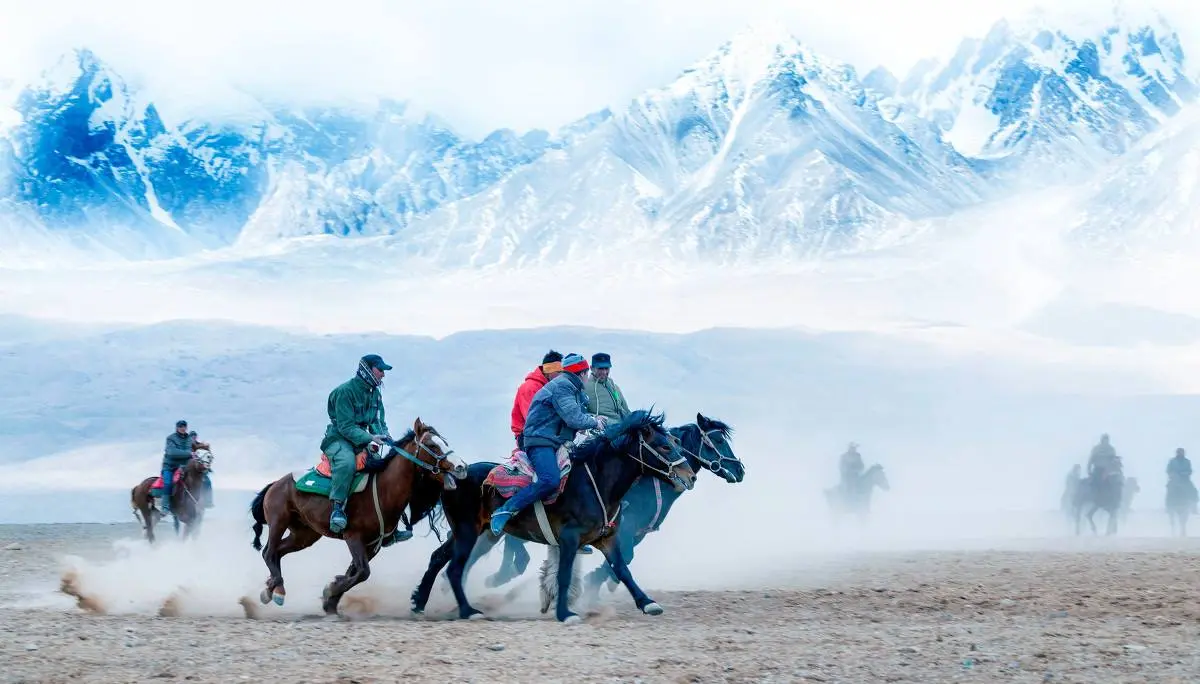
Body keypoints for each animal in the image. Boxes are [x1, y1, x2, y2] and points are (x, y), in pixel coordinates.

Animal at [248, 417, 463, 614]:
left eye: (444, 441)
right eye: (432, 445)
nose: (461, 467)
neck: (383, 488)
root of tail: (276, 484)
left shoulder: (373, 544)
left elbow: (355, 571)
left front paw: (331, 602)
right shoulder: (353, 537)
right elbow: (363, 572)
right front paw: (331, 590)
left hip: (304, 535)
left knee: (278, 552)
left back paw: (272, 589)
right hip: (279, 521)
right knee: (269, 552)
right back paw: (276, 592)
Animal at [410, 410, 696, 624]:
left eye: (674, 443)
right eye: (663, 446)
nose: (689, 476)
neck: (597, 483)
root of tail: (452, 476)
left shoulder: (607, 539)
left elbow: (623, 570)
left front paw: (647, 603)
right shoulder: (569, 539)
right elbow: (564, 575)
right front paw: (565, 613)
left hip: (467, 531)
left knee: (438, 558)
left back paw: (419, 601)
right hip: (468, 531)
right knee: (455, 568)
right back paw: (468, 611)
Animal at [470, 412, 744, 592]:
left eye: (675, 443)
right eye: (719, 440)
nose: (739, 470)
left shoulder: (633, 533)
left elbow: (623, 558)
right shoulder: (627, 527)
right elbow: (625, 556)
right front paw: (594, 582)